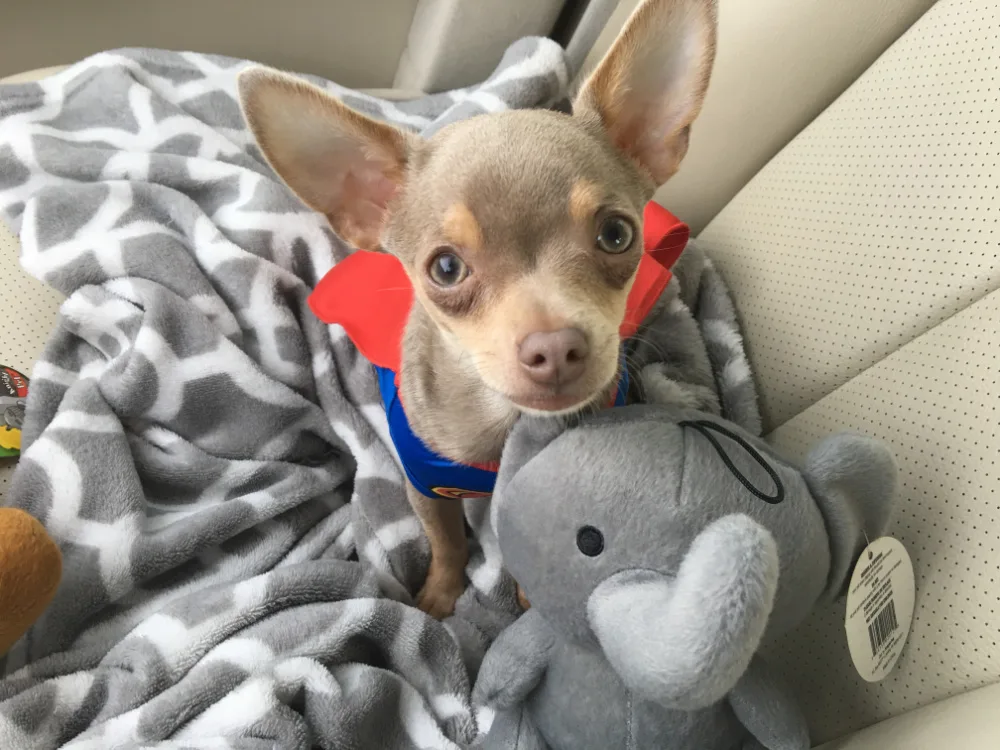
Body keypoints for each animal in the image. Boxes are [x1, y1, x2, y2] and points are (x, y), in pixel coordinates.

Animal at [235, 0, 720, 620]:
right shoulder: (426, 489)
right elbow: (446, 542)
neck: (503, 426)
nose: (556, 347)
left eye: (616, 235)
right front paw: (439, 596)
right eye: (445, 268)